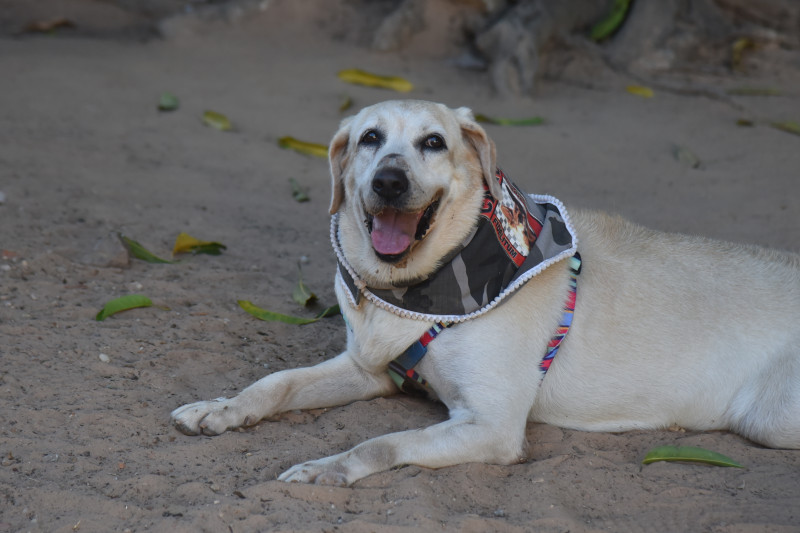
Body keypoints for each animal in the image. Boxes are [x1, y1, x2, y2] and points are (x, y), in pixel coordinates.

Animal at [170, 97, 800, 484]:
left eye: (433, 143)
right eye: (370, 138)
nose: (389, 181)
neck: (414, 289)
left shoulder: (491, 427)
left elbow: (383, 444)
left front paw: (329, 468)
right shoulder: (367, 368)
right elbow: (274, 384)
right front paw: (221, 409)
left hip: (769, 417)